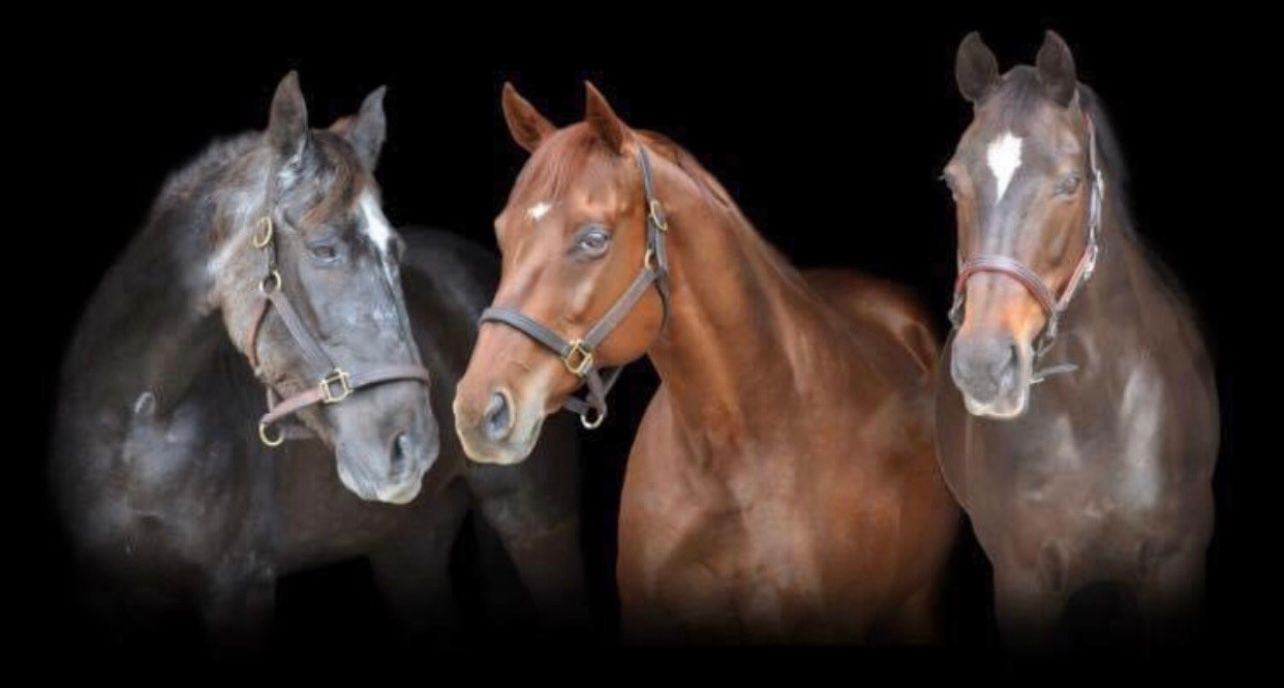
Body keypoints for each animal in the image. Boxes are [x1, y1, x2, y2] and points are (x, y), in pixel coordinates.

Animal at [48, 73, 587, 653]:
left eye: (395, 251)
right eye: (324, 248)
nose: (412, 447)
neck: (138, 425)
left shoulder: (239, 586)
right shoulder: (104, 590)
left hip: (539, 526)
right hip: (408, 544)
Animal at [938, 31, 1219, 645]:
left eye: (1069, 182)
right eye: (952, 182)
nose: (984, 368)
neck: (1096, 409)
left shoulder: (1175, 565)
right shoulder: (1023, 581)